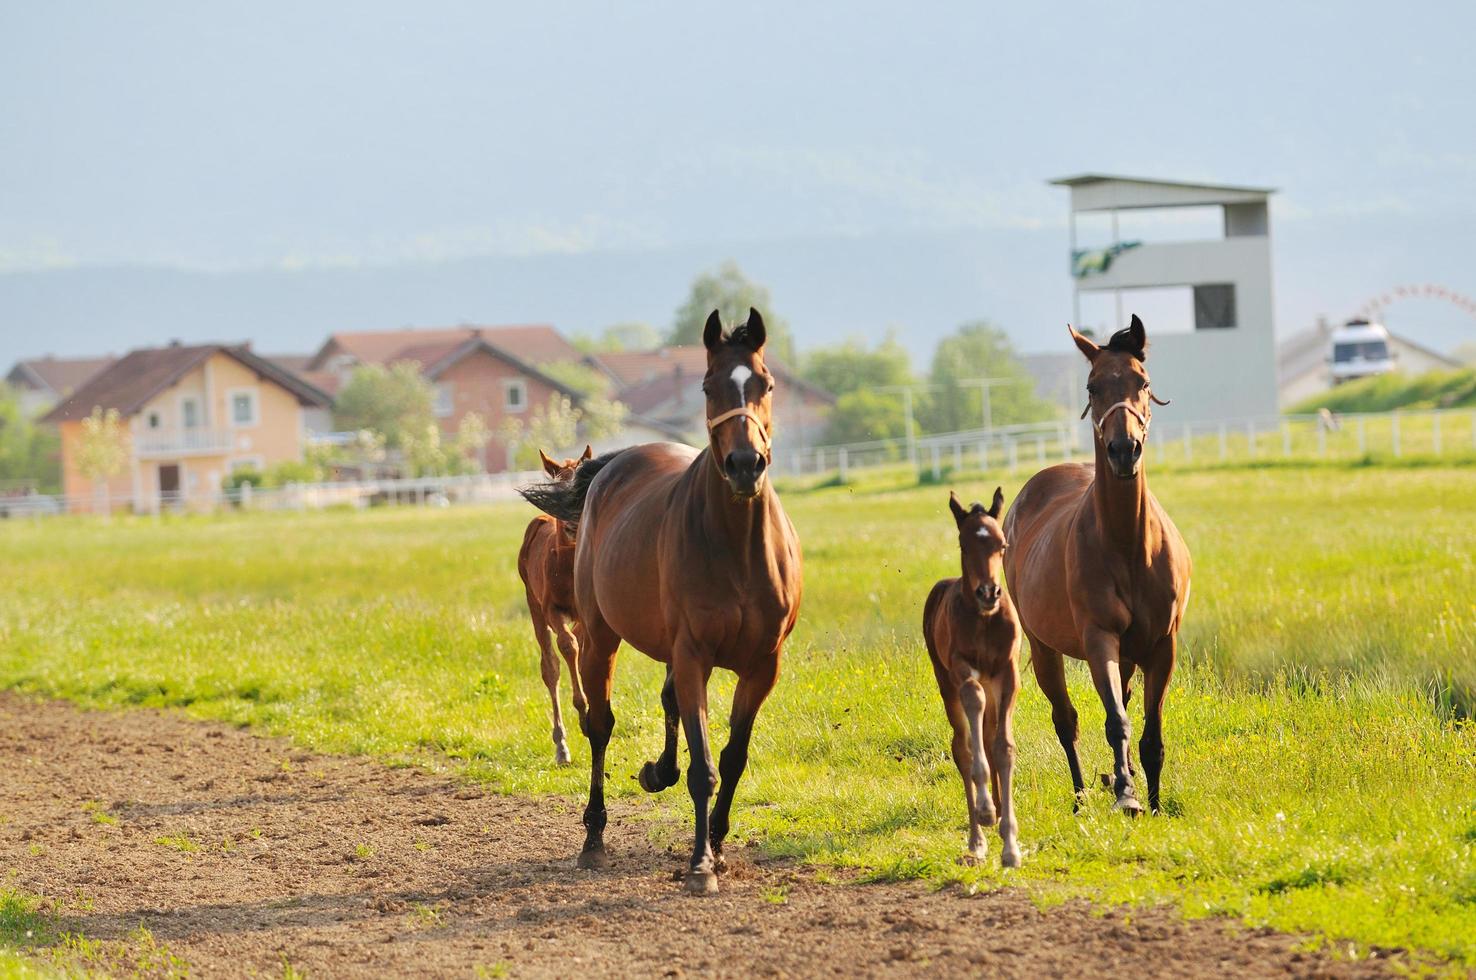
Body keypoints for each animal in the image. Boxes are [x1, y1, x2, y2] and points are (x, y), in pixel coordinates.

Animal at [516, 308, 797, 897]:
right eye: (709, 385)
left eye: (766, 383)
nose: (744, 464)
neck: (737, 547)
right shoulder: (693, 655)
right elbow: (703, 767)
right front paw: (700, 865)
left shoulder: (763, 665)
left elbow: (731, 758)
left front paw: (717, 843)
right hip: (600, 635)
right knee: (600, 724)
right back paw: (594, 837)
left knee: (667, 706)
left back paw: (656, 772)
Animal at [921, 490, 1027, 867]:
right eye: (964, 545)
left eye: (1002, 544)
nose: (988, 592)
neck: (984, 620)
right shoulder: (962, 670)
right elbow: (974, 719)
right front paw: (984, 811)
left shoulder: (1008, 674)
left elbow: (1003, 746)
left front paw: (1010, 845)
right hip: (945, 683)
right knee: (962, 746)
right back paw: (977, 837)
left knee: (989, 731)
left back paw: (996, 811)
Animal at [997, 317, 1192, 814]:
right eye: (1092, 386)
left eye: (1143, 382)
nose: (1125, 450)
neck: (1128, 547)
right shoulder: (1099, 637)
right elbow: (1115, 720)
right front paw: (1125, 796)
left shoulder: (1162, 646)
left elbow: (1151, 733)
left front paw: (1153, 800)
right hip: (1044, 647)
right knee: (1066, 720)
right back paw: (1083, 795)